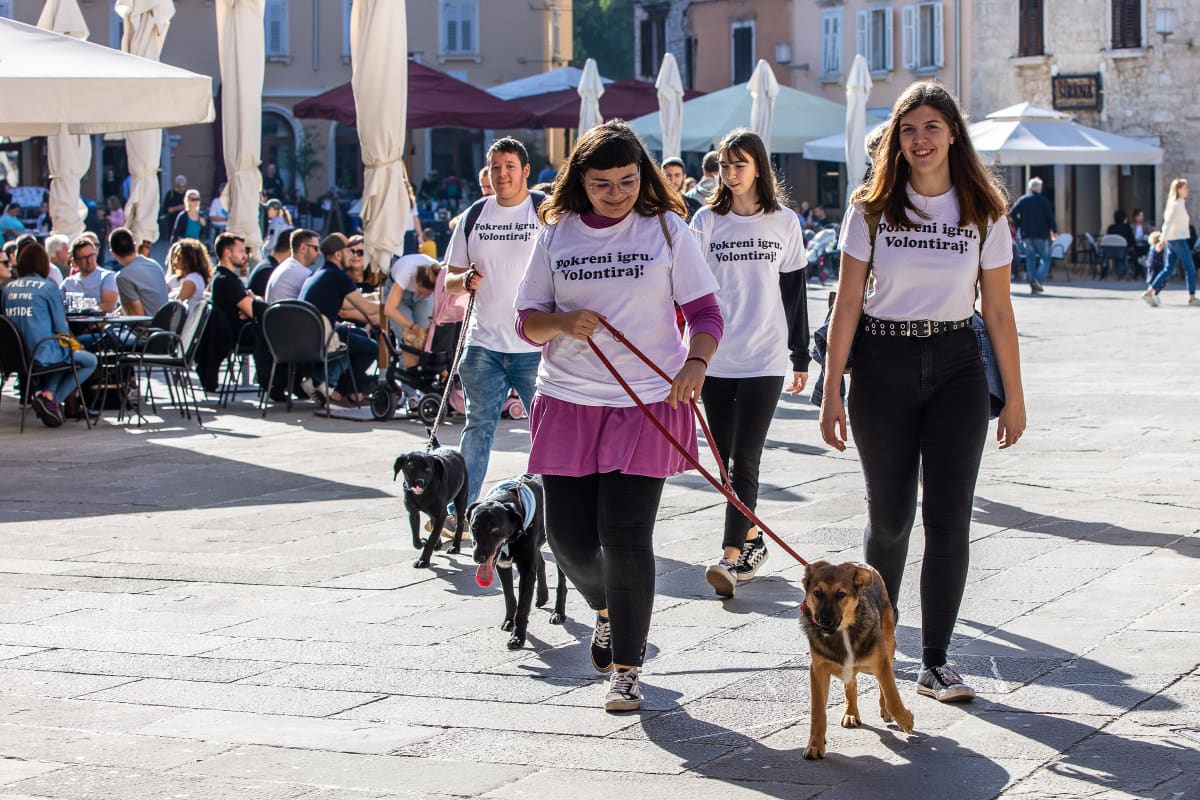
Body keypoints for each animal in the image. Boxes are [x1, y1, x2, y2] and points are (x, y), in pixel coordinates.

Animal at [468, 475, 568, 649]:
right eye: (474, 527)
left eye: (494, 529)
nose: (478, 558)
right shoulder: (502, 565)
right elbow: (510, 597)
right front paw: (509, 621)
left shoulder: (526, 569)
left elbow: (522, 606)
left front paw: (517, 637)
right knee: (540, 563)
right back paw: (542, 597)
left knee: (561, 581)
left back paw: (558, 613)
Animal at [800, 560, 914, 760]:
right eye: (817, 593)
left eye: (841, 594)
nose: (823, 620)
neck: (843, 632)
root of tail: (860, 564)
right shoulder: (818, 670)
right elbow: (818, 713)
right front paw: (814, 745)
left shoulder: (881, 662)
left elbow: (891, 695)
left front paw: (906, 720)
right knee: (851, 684)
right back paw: (851, 713)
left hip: (887, 644)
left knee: (882, 685)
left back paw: (884, 710)